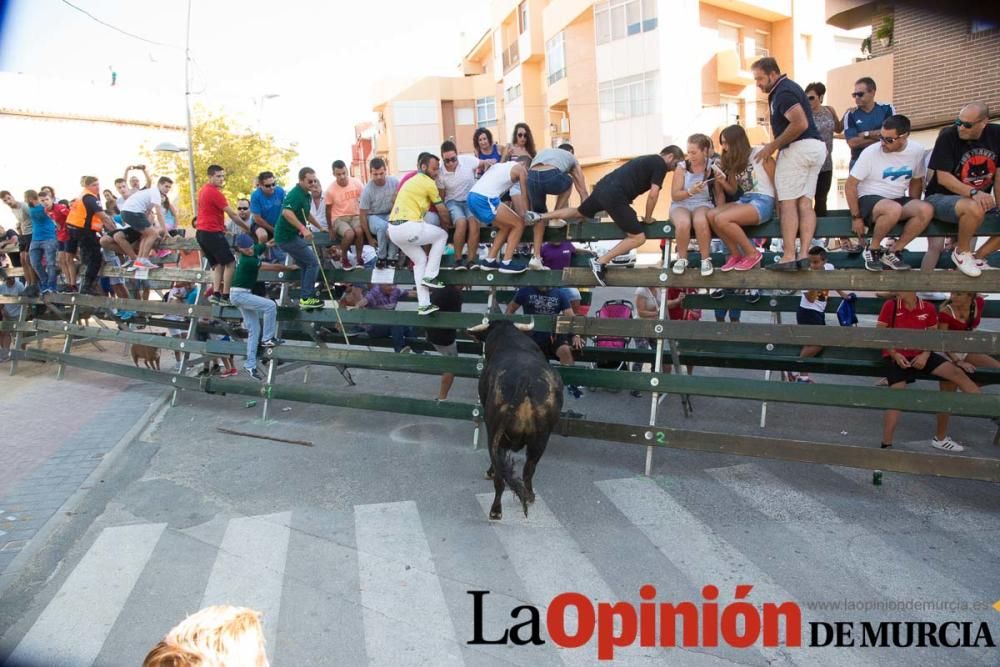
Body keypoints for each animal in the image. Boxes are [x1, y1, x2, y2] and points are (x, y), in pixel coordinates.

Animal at [470, 320, 564, 520]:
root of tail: (524, 380)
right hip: (541, 439)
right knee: (529, 469)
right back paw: (529, 495)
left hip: (496, 433)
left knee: (500, 473)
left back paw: (496, 510)